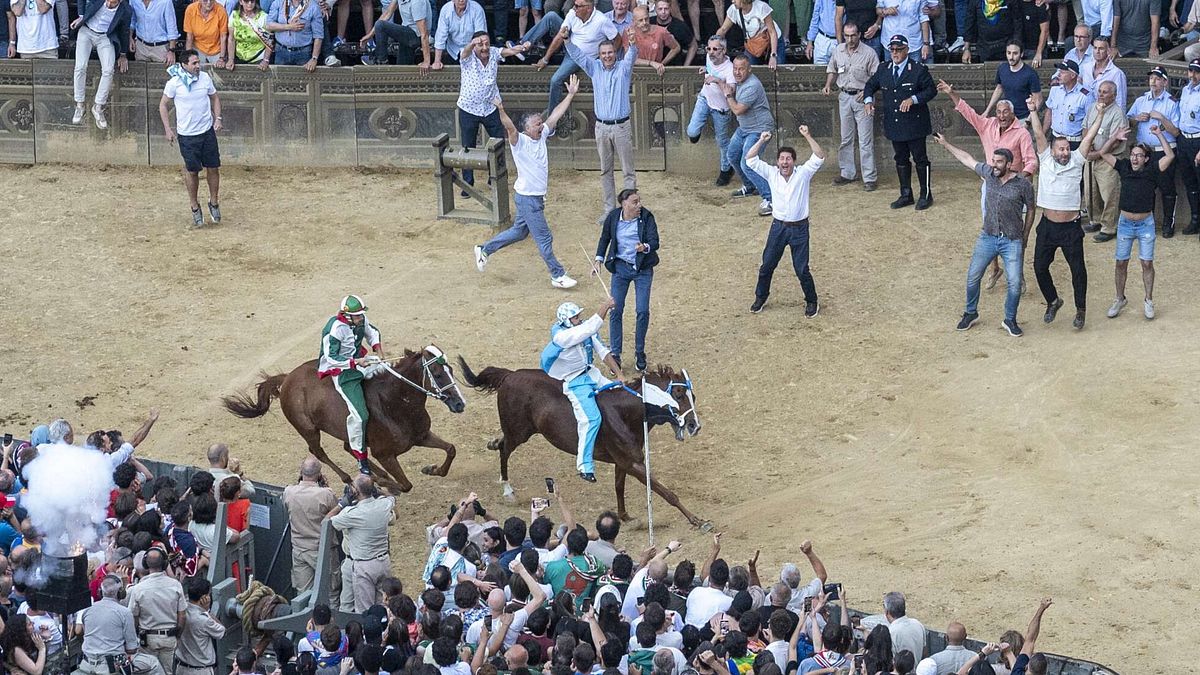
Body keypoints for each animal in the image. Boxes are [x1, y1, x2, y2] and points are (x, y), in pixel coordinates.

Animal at [223, 343, 465, 492]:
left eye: (452, 370)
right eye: (438, 373)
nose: (459, 403)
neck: (395, 404)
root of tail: (288, 377)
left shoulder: (421, 436)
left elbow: (451, 449)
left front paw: (433, 469)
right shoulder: (385, 454)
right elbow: (405, 485)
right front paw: (381, 481)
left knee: (349, 448)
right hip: (308, 430)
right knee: (319, 452)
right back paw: (353, 477)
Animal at [453, 355, 705, 528]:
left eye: (692, 395)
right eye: (679, 395)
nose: (695, 425)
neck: (624, 412)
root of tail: (510, 375)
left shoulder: (624, 462)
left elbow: (619, 486)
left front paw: (625, 516)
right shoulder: (632, 463)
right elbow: (664, 490)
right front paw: (696, 519)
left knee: (501, 444)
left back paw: (492, 444)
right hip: (519, 432)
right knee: (505, 450)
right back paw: (508, 490)